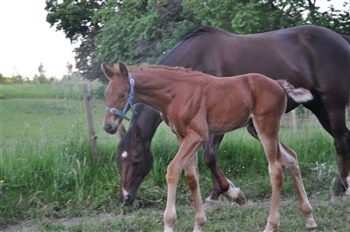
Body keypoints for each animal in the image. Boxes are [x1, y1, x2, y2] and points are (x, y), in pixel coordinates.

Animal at [102, 61, 318, 232]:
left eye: (122, 94)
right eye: (106, 93)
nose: (108, 126)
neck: (175, 93)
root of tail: (279, 84)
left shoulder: (198, 135)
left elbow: (173, 170)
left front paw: (169, 223)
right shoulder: (182, 136)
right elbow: (191, 176)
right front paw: (199, 224)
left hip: (266, 128)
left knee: (276, 168)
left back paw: (271, 225)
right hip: (255, 129)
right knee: (291, 157)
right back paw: (309, 219)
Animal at [110, 24, 350, 204]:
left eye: (136, 160)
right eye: (118, 160)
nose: (125, 199)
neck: (196, 60)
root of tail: (342, 39)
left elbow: (209, 156)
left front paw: (228, 192)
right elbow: (207, 158)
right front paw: (217, 193)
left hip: (333, 105)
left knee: (340, 141)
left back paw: (341, 189)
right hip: (318, 106)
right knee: (344, 137)